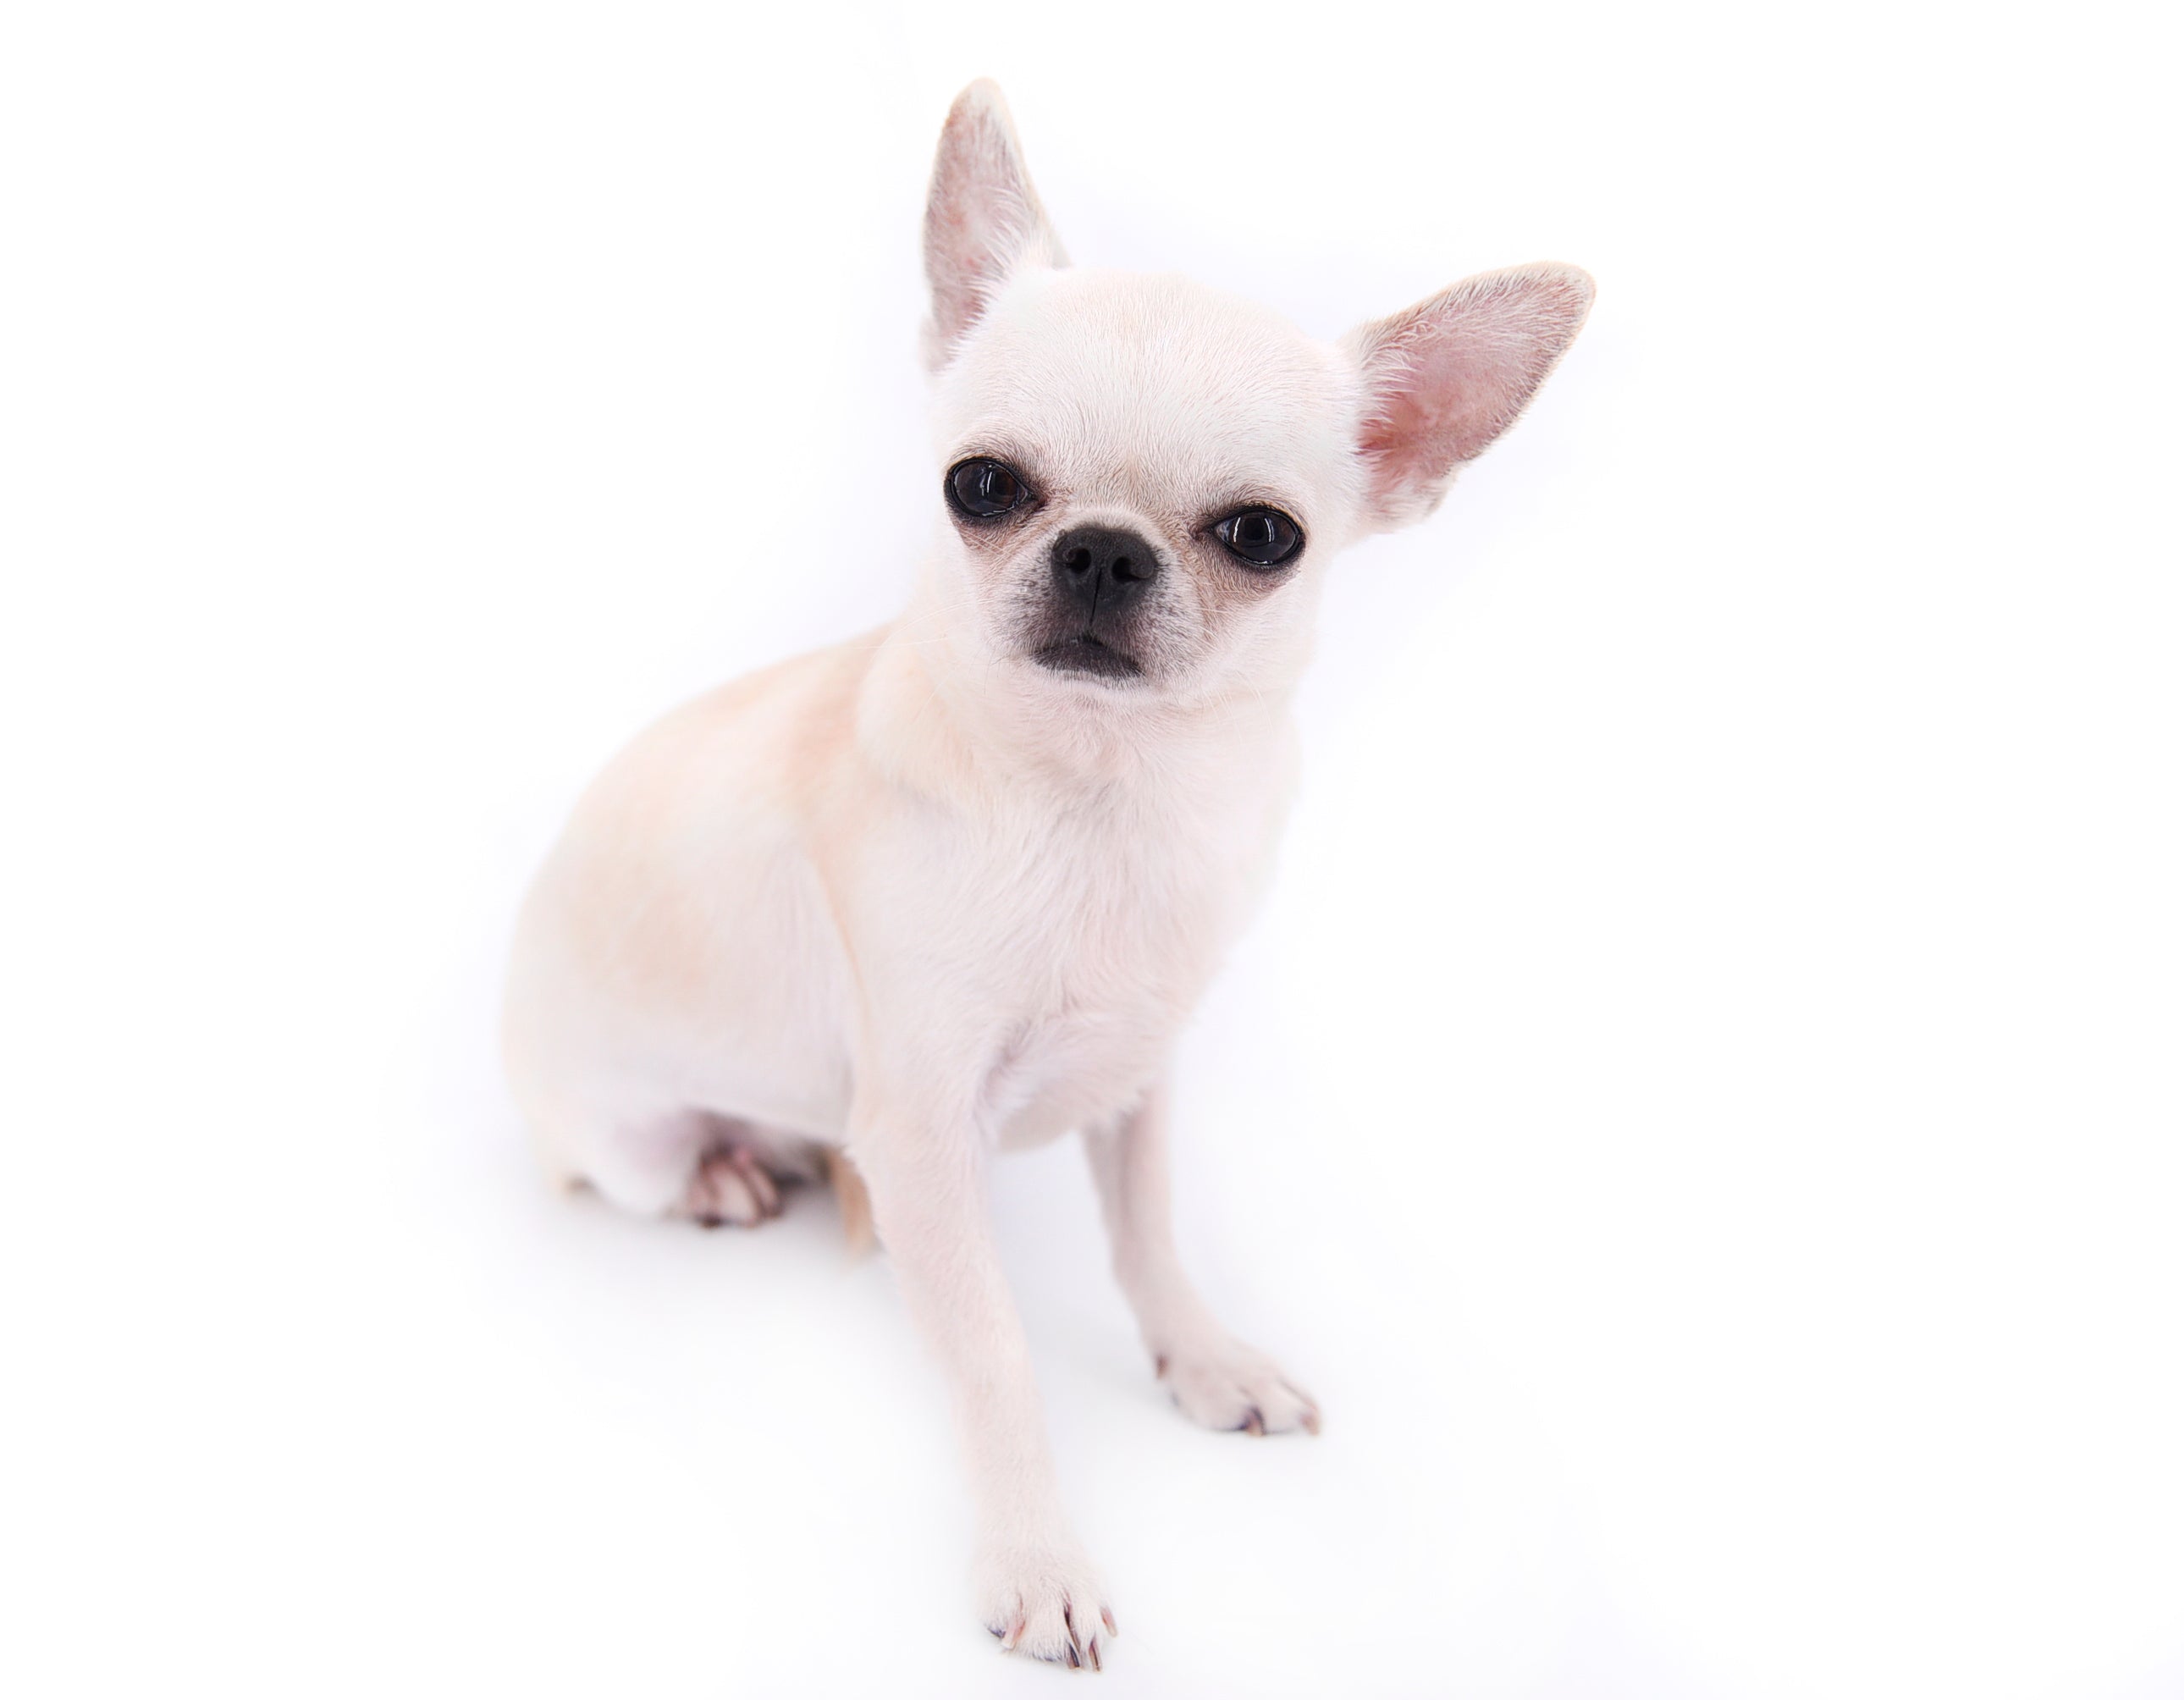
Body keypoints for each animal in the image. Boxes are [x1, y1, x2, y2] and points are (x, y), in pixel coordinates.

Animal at [503, 79, 1591, 1668]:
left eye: (1263, 535)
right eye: (983, 486)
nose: (1100, 552)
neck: (1099, 801)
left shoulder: (1139, 1078)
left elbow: (1149, 1237)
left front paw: (1202, 1358)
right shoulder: (924, 1135)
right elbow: (999, 1359)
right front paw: (1036, 1555)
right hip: (623, 1140)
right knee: (636, 1167)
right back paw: (727, 1169)